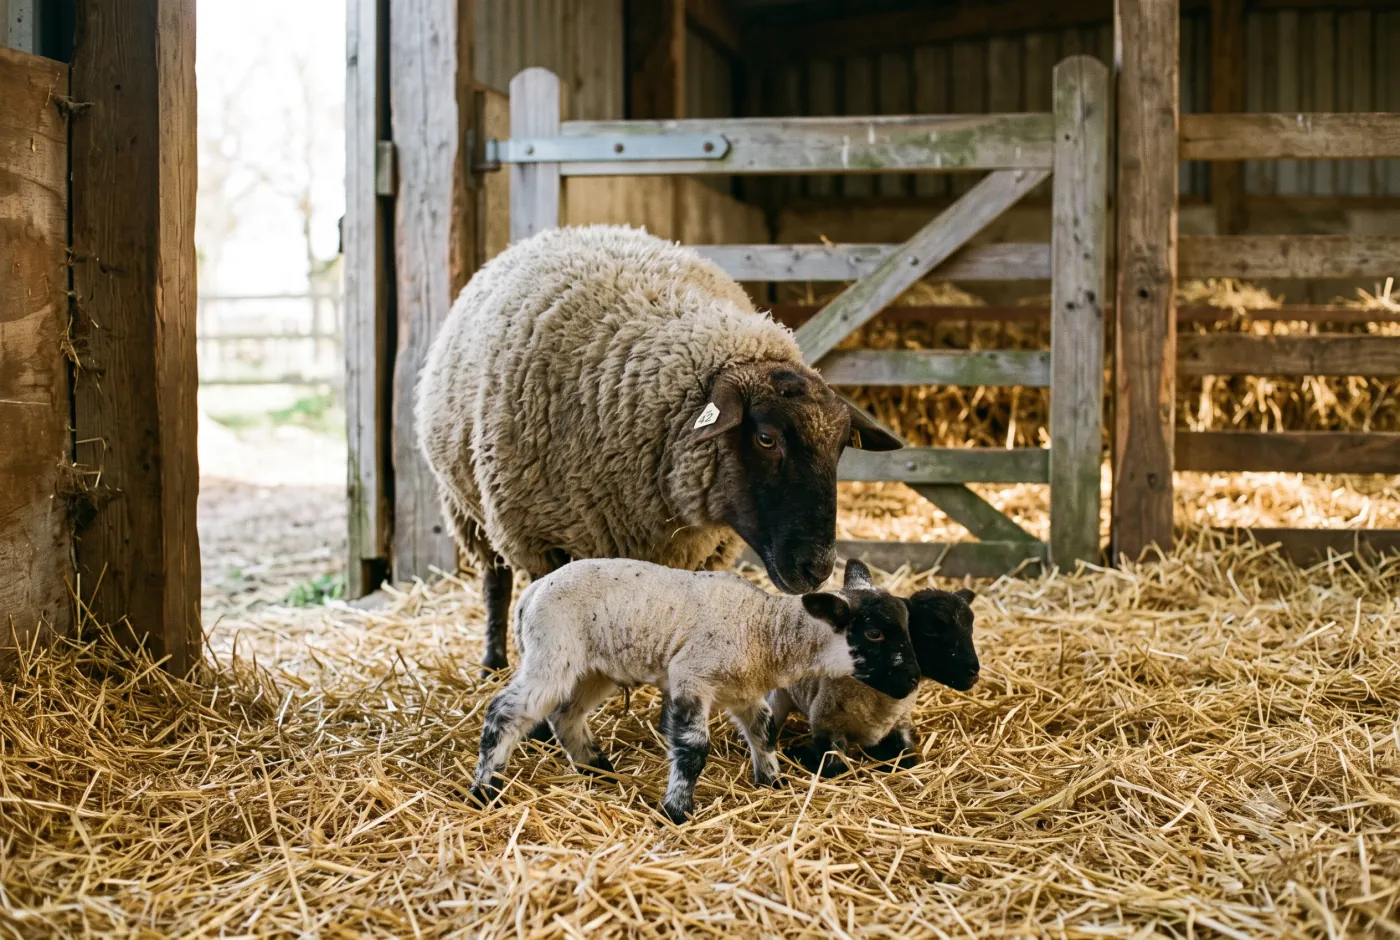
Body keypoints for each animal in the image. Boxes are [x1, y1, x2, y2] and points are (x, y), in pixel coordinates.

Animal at [415, 224, 900, 675]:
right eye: (766, 438)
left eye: (840, 447)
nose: (817, 569)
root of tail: (564, 229)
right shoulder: (540, 539)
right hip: (468, 509)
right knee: (494, 581)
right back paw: (491, 663)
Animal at [468, 557, 921, 823]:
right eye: (874, 633)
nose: (914, 679)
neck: (764, 630)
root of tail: (530, 593)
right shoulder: (690, 678)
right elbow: (693, 750)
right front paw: (676, 811)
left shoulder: (746, 692)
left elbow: (764, 733)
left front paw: (772, 783)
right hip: (552, 653)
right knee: (504, 712)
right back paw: (485, 790)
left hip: (594, 668)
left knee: (566, 715)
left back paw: (598, 769)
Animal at [767, 560, 978, 777]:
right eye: (929, 629)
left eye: (971, 629)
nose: (974, 673)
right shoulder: (826, 724)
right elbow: (835, 767)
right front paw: (799, 754)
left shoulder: (899, 724)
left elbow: (907, 758)